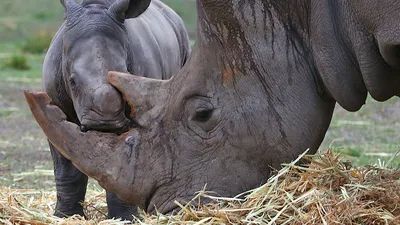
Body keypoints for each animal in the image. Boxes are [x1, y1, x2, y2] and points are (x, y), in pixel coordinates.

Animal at [41, 0, 191, 220]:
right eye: (72, 81)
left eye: (125, 74)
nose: (104, 122)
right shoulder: (54, 107)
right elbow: (66, 169)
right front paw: (65, 217)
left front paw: (125, 219)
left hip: (183, 41)